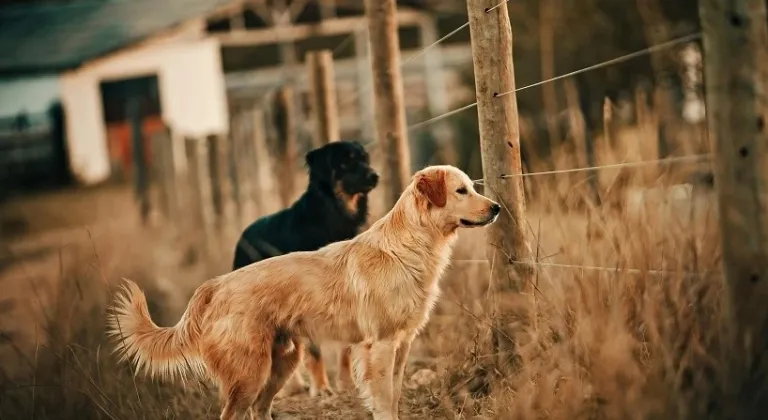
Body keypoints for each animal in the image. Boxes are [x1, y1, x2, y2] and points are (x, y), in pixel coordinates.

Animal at [109, 165, 504, 420]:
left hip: (282, 363)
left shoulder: (402, 345)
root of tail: (216, 284)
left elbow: (393, 397)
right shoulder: (380, 346)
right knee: (233, 414)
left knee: (259, 410)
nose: (498, 207)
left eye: (472, 187)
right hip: (251, 373)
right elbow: (383, 401)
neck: (408, 246)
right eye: (461, 191)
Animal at [232, 139, 380, 396]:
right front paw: (321, 388)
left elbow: (345, 348)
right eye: (345, 162)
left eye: (364, 159)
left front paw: (346, 383)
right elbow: (315, 350)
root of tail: (243, 236)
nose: (375, 175)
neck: (334, 215)